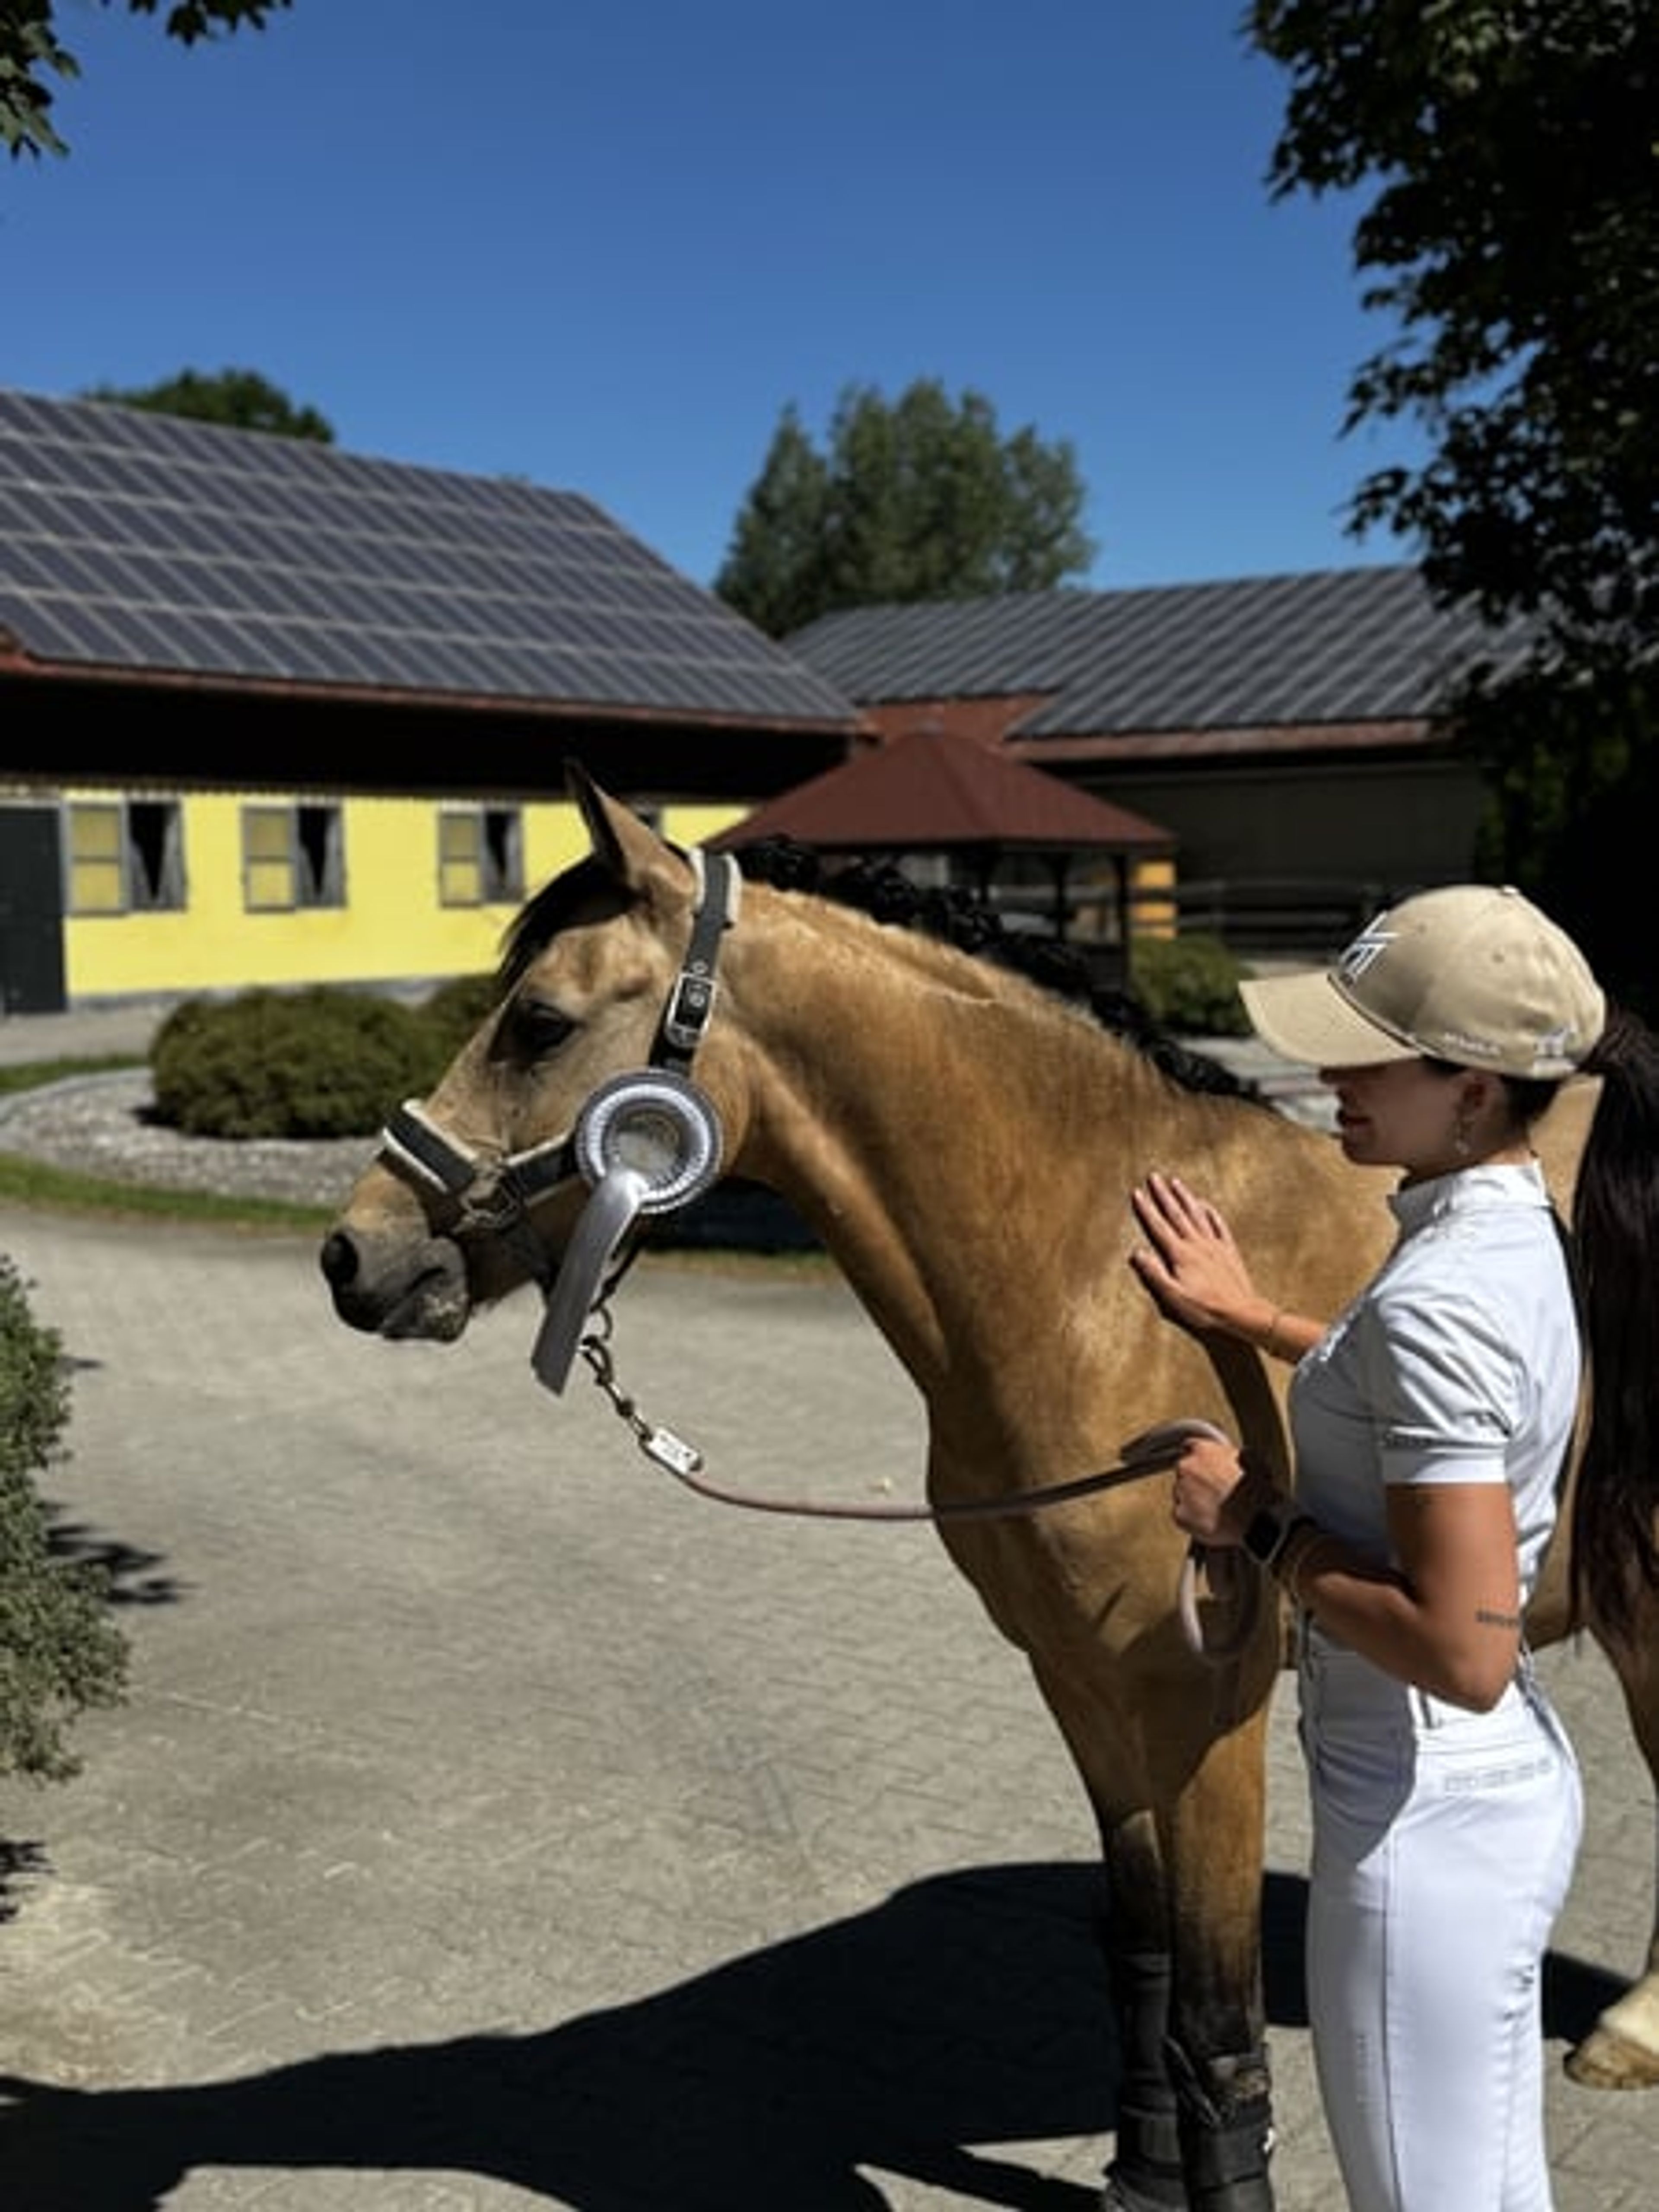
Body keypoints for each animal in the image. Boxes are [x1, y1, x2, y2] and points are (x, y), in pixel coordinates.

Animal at [319, 767, 1659, 2212]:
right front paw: (1140, 2174)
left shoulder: (1207, 1704)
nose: (355, 1255)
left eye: (539, 1023)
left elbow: (1215, 2004)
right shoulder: (1079, 1678)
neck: (1097, 1280)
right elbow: (1137, 1951)